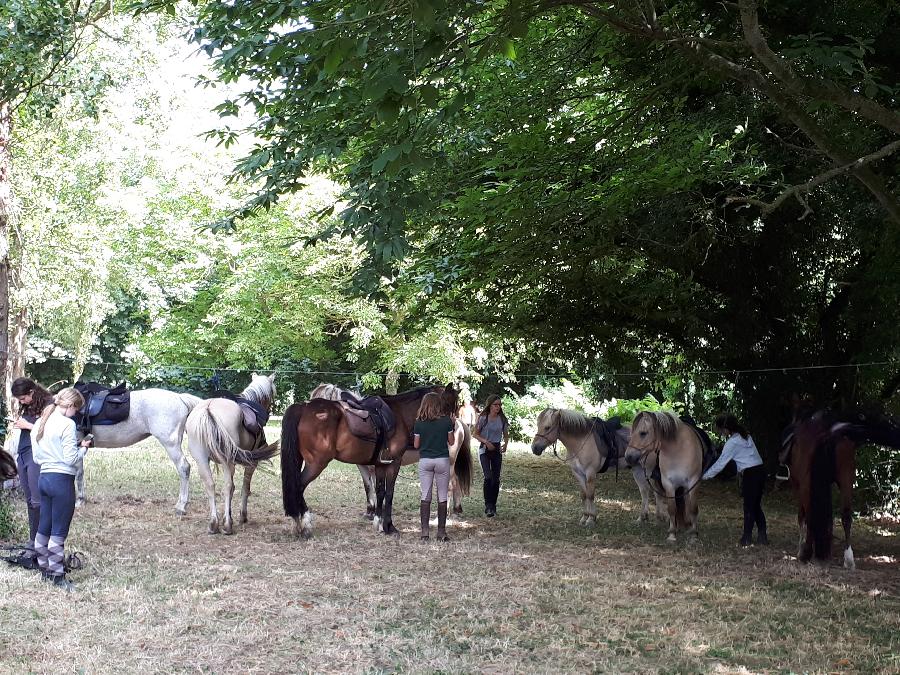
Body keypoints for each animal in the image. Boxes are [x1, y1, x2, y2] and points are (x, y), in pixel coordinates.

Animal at [74, 388, 203, 516]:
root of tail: (179, 397)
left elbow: (78, 474)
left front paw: (79, 501)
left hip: (170, 444)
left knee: (184, 467)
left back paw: (181, 506)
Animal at [284, 386, 472, 540]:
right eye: (451, 403)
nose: (451, 427)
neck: (400, 415)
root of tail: (303, 408)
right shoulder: (391, 463)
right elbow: (386, 492)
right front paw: (387, 525)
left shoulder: (380, 464)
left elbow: (379, 491)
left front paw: (379, 522)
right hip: (316, 463)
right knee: (298, 486)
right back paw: (303, 524)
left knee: (452, 484)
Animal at [624, 412, 708, 544]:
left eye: (643, 433)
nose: (628, 457)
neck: (678, 450)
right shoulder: (668, 484)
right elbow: (672, 508)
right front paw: (672, 534)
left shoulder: (693, 483)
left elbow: (693, 508)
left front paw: (694, 535)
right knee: (646, 493)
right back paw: (644, 518)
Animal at [780, 410, 900, 568]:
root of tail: (827, 434)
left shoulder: (797, 483)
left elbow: (802, 516)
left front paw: (802, 549)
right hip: (846, 478)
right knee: (846, 515)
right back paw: (848, 559)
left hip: (807, 483)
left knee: (810, 514)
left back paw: (806, 553)